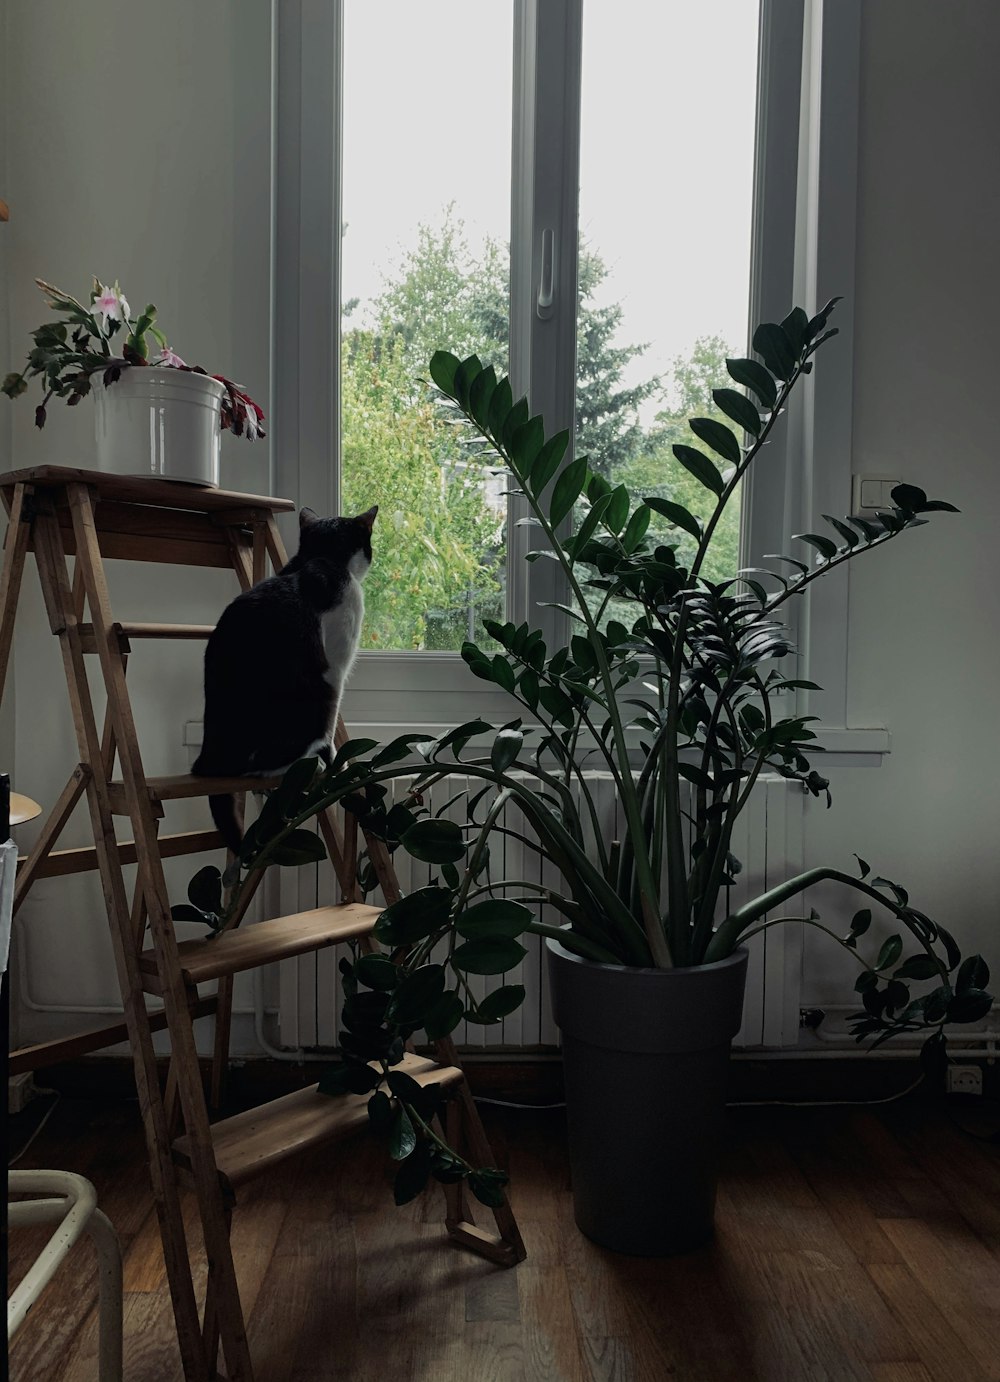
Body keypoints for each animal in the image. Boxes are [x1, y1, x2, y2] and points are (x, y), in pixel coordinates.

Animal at [190, 505, 375, 851]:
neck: (322, 558)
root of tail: (209, 758)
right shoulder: (335, 665)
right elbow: (331, 726)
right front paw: (336, 760)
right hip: (313, 695)